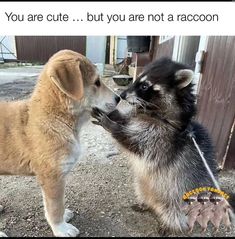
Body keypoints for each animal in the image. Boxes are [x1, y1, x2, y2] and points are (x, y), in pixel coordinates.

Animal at [0, 49, 119, 236]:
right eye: (97, 82)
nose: (119, 98)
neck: (54, 117)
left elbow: (56, 205)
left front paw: (64, 218)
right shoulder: (52, 176)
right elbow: (55, 207)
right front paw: (61, 228)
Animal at [92, 57, 218, 233]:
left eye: (145, 86)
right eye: (137, 80)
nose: (122, 95)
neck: (153, 111)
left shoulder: (162, 138)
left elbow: (133, 142)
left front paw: (111, 124)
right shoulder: (139, 117)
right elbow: (129, 119)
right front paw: (114, 115)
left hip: (180, 195)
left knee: (175, 209)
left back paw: (170, 224)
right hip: (142, 186)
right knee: (143, 190)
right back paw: (145, 204)